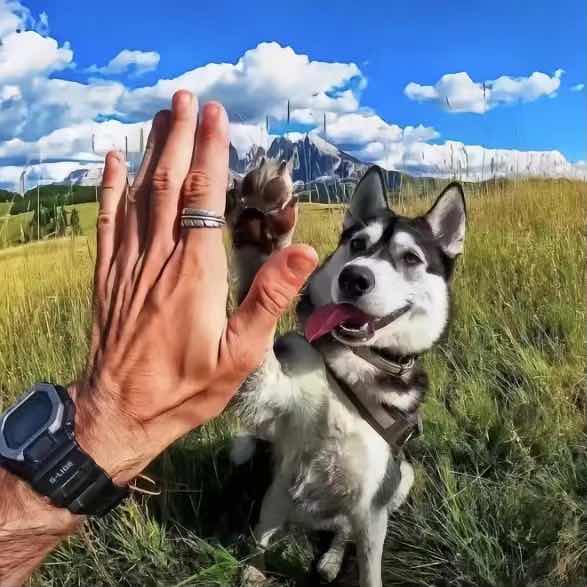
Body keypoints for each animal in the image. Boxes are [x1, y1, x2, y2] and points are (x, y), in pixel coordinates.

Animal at [228, 160, 467, 587]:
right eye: (357, 245)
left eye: (410, 258)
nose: (354, 277)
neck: (355, 366)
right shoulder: (270, 394)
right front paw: (260, 229)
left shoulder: (373, 503)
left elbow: (369, 567)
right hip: (261, 468)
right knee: (265, 533)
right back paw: (256, 568)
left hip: (402, 475)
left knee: (343, 532)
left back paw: (330, 559)